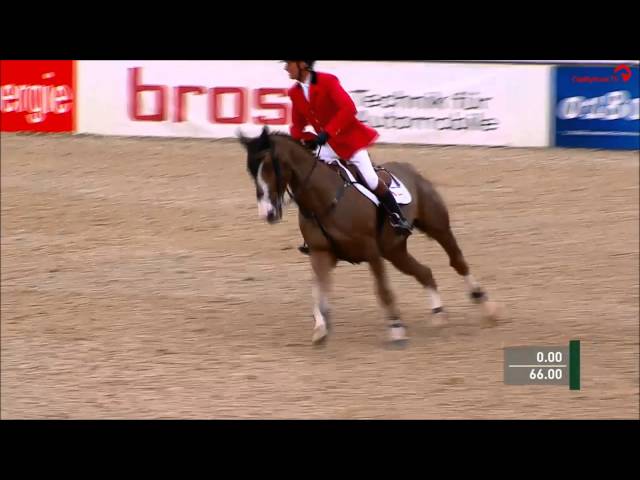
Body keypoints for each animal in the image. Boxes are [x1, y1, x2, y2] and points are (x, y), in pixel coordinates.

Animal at [238, 126, 499, 346]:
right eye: (250, 170)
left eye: (269, 166)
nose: (267, 213)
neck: (324, 198)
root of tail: (410, 169)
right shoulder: (321, 253)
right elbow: (318, 291)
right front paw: (321, 328)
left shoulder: (371, 252)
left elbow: (382, 290)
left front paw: (396, 328)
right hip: (394, 250)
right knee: (424, 271)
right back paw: (438, 314)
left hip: (437, 228)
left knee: (457, 261)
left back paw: (486, 306)